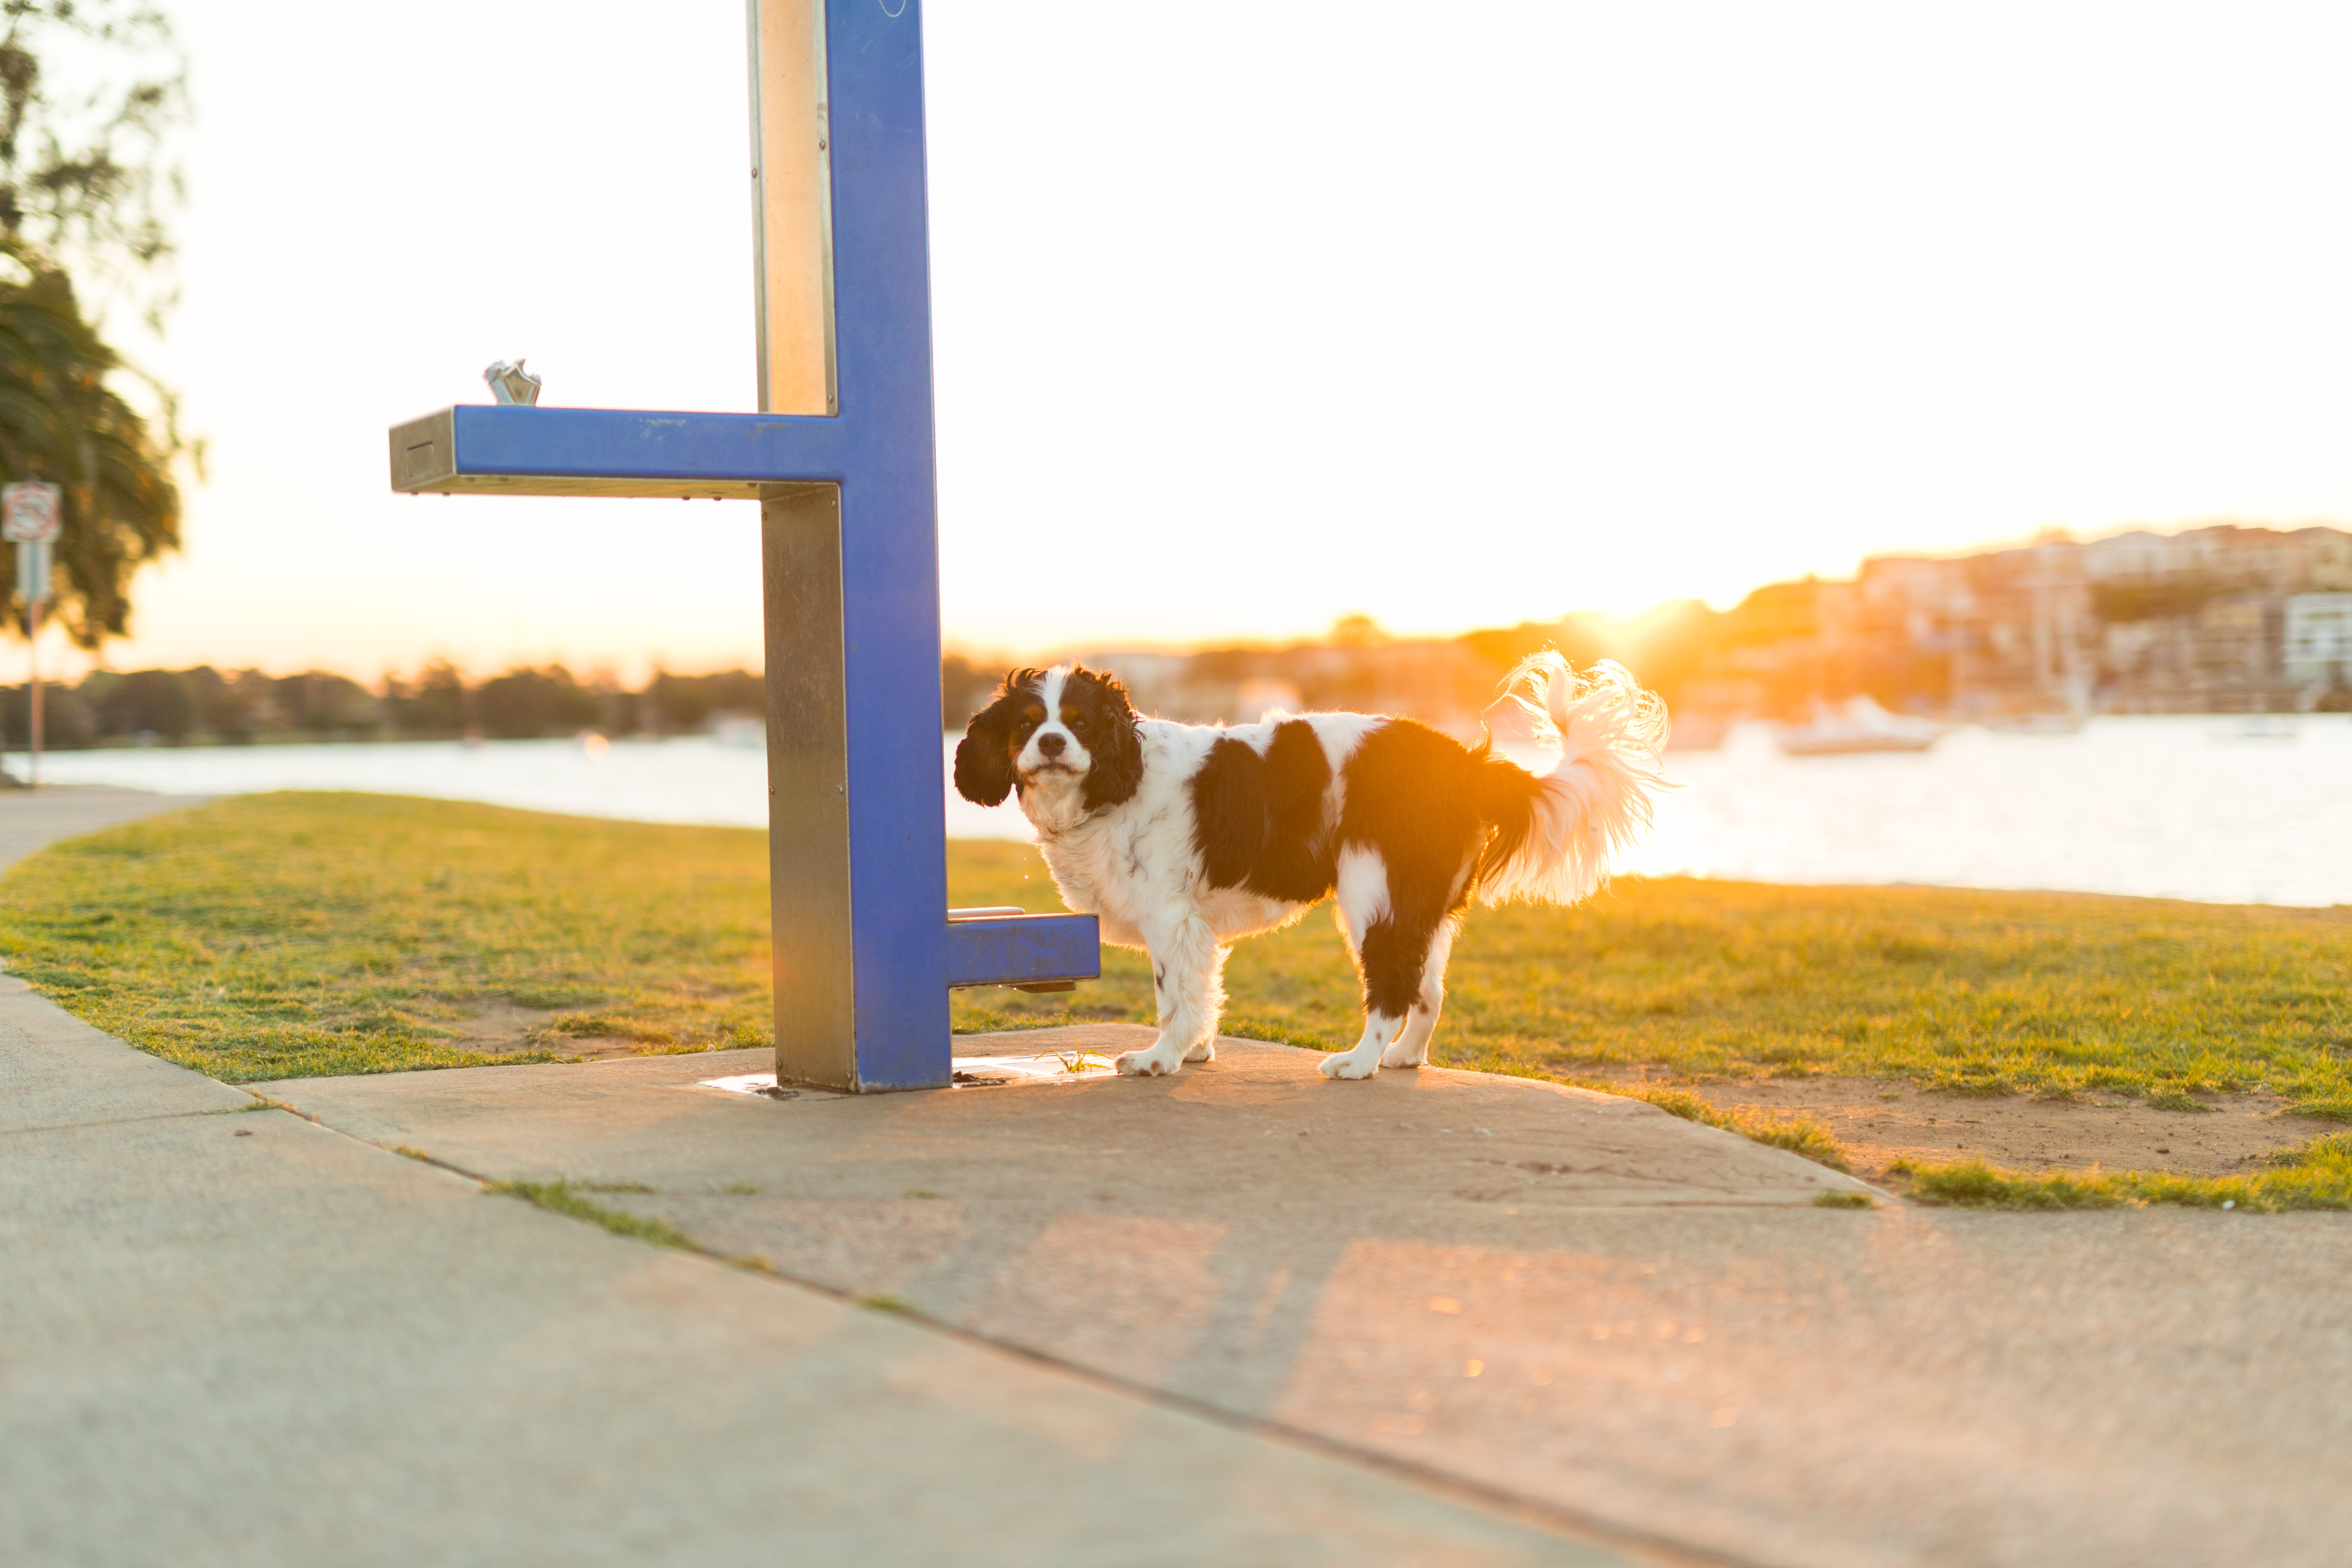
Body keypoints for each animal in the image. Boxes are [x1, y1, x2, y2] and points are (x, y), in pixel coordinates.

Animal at [959, 658, 1674, 1081]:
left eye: (1080, 722)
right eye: (1028, 724)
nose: (1053, 743)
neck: (1118, 780)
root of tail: (1464, 764)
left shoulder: (1173, 919)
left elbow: (1175, 1000)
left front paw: (1162, 1058)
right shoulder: (1194, 927)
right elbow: (1197, 994)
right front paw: (1194, 1051)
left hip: (1373, 895)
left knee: (1392, 986)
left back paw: (1361, 1062)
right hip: (1419, 905)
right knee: (1428, 989)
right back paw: (1405, 1057)